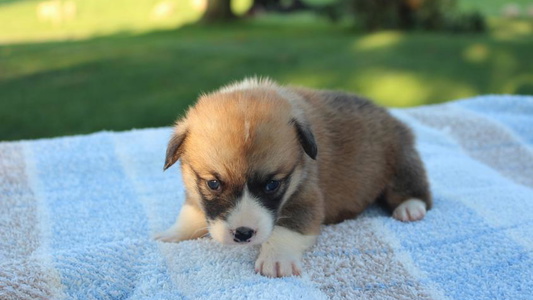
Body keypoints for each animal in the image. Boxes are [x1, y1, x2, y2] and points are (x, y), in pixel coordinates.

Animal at [156, 77, 430, 276]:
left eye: (272, 185)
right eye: (213, 183)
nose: (243, 235)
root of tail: (392, 117)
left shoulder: (306, 199)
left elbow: (287, 229)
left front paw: (276, 259)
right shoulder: (194, 192)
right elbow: (191, 212)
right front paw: (172, 233)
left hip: (401, 161)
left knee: (416, 190)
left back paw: (410, 208)